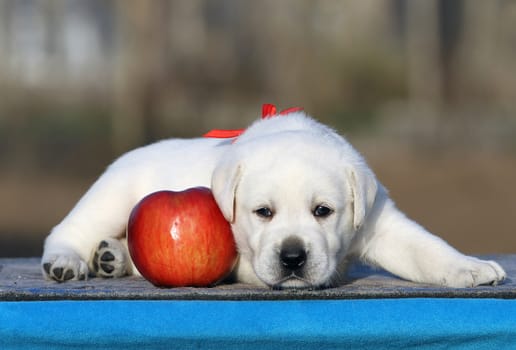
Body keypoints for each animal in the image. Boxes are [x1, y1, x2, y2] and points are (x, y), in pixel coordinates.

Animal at [42, 108, 506, 288]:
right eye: (263, 212)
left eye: (323, 211)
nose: (293, 257)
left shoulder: (381, 225)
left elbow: (427, 249)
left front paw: (470, 267)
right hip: (112, 196)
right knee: (69, 229)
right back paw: (68, 261)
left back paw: (111, 257)